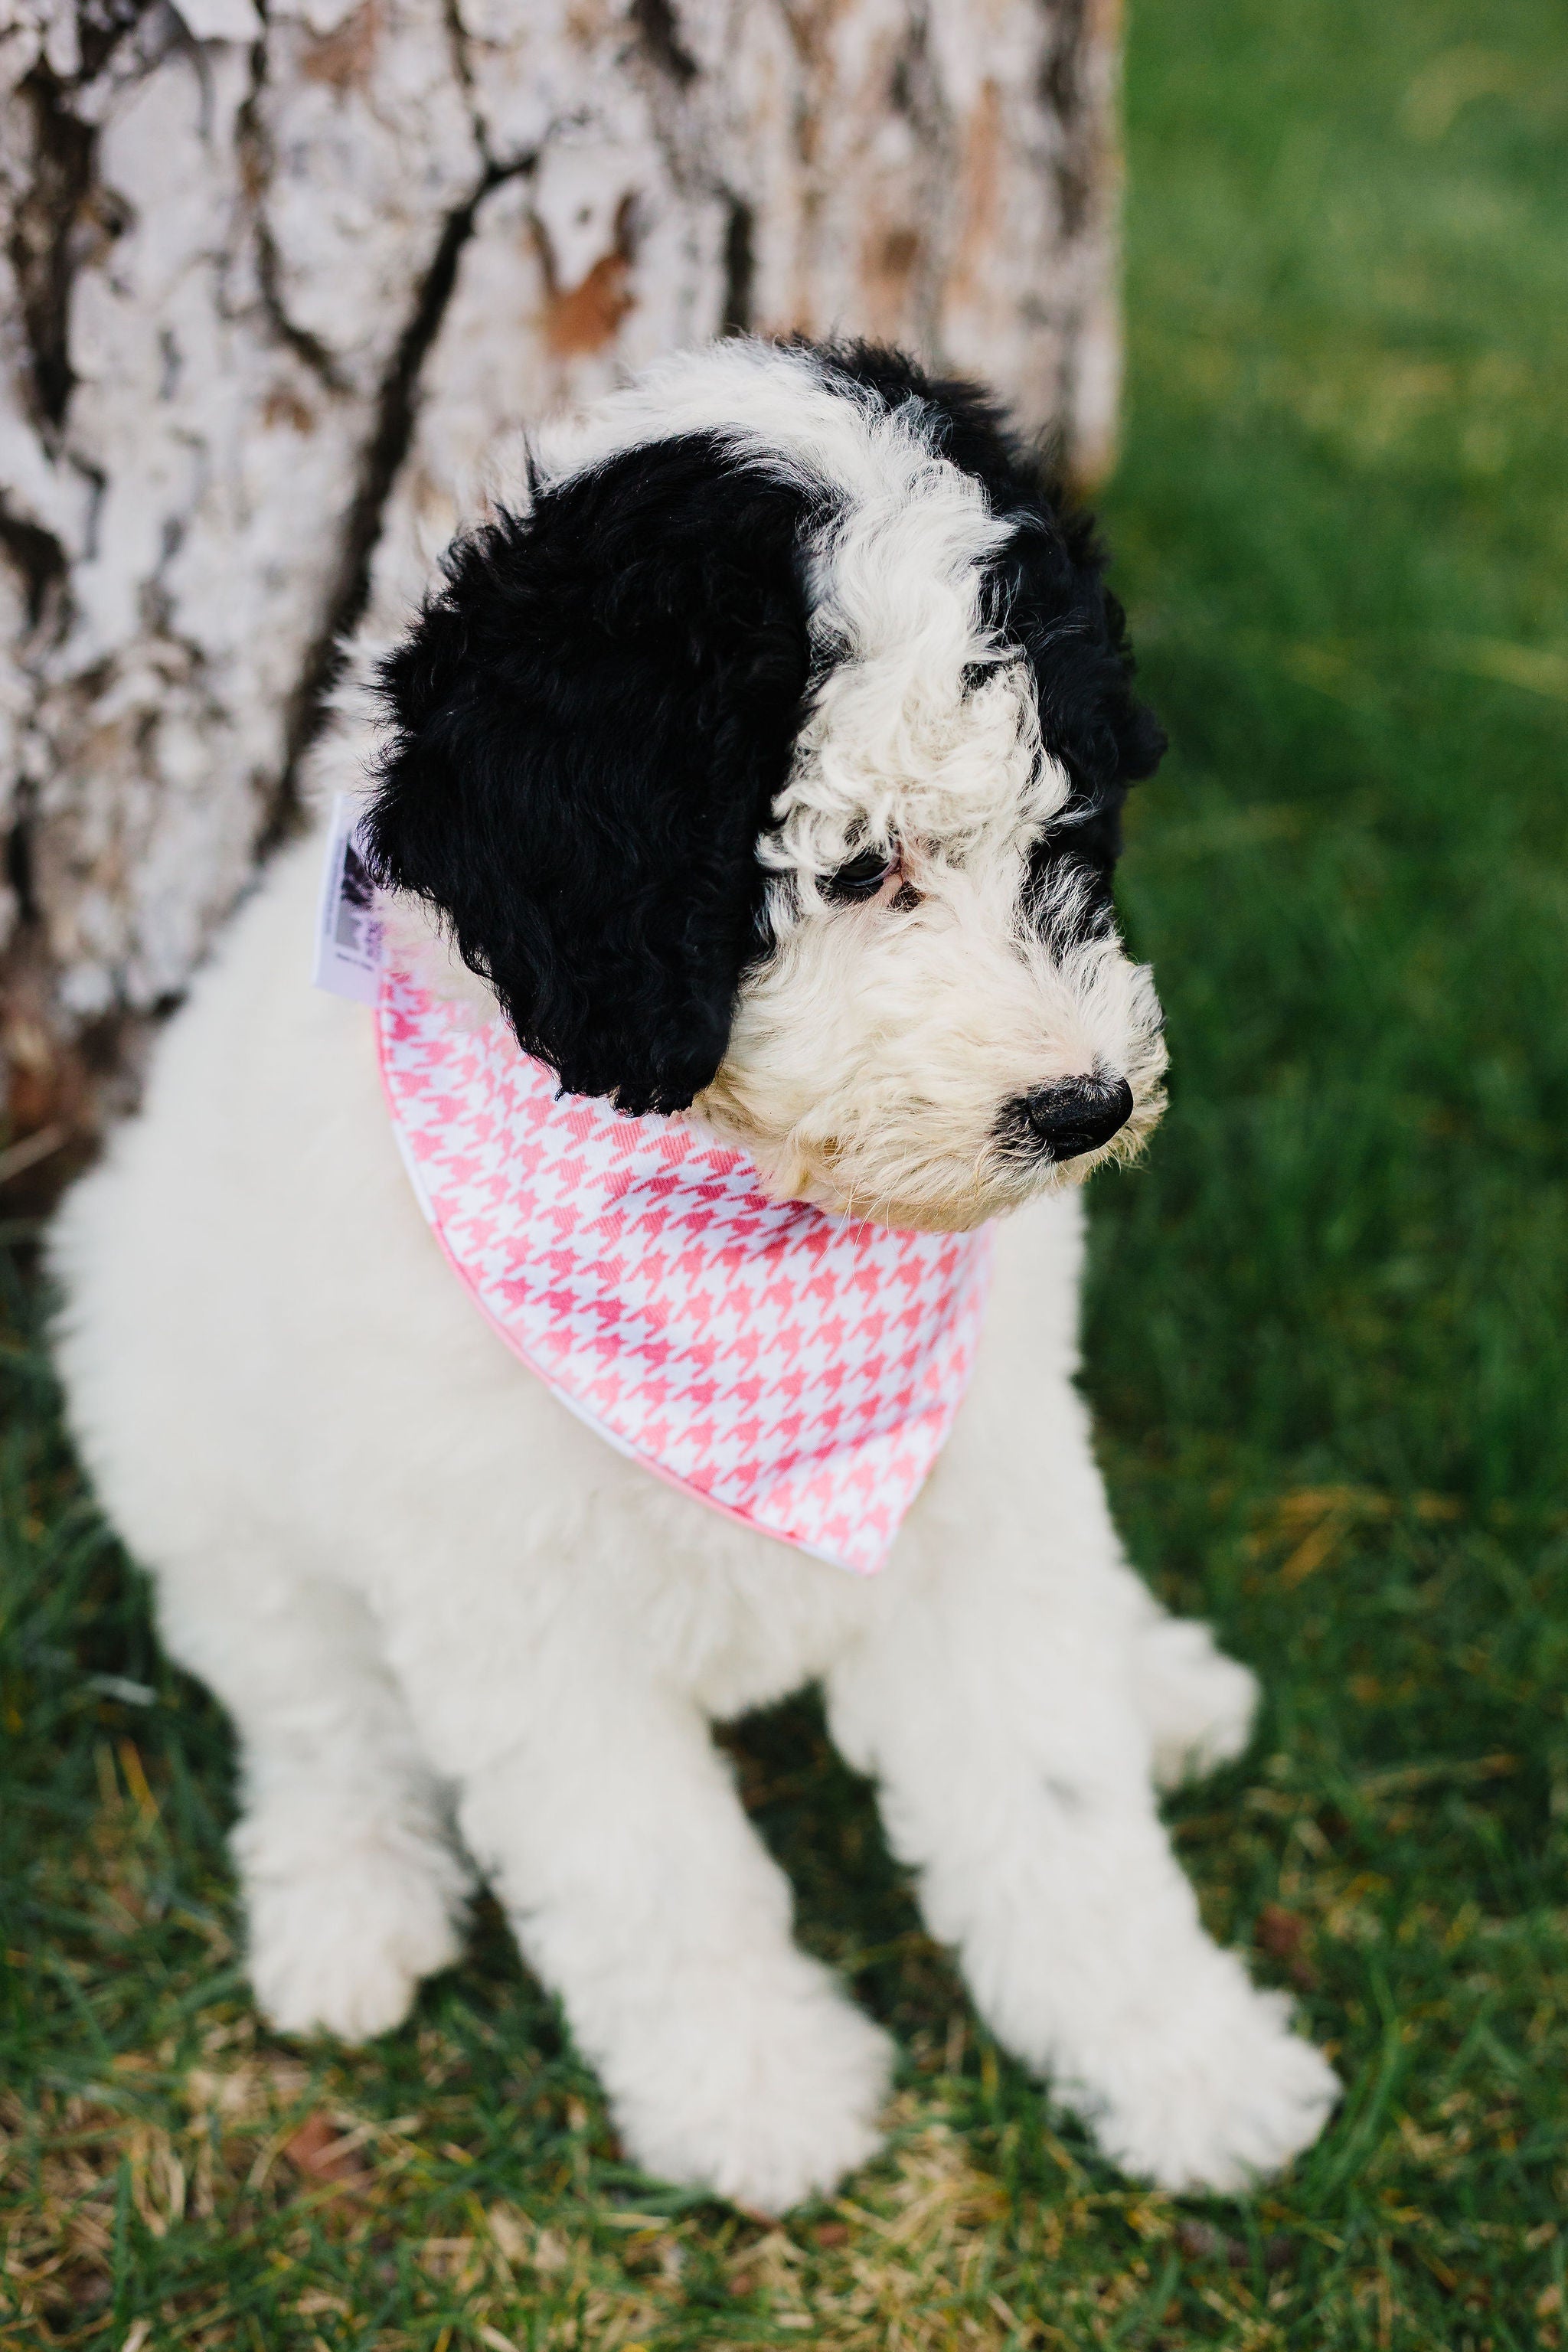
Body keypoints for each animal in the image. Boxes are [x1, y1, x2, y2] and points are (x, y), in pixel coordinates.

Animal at [49, 341, 1335, 2210]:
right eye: (855, 865)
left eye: (1067, 832)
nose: (1083, 1107)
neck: (744, 1212)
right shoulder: (510, 1589)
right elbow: (649, 1868)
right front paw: (760, 2098)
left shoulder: (983, 1489)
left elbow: (1055, 1798)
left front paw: (1187, 2066)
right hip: (187, 1453)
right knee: (314, 1708)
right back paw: (345, 1903)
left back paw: (1156, 1677)